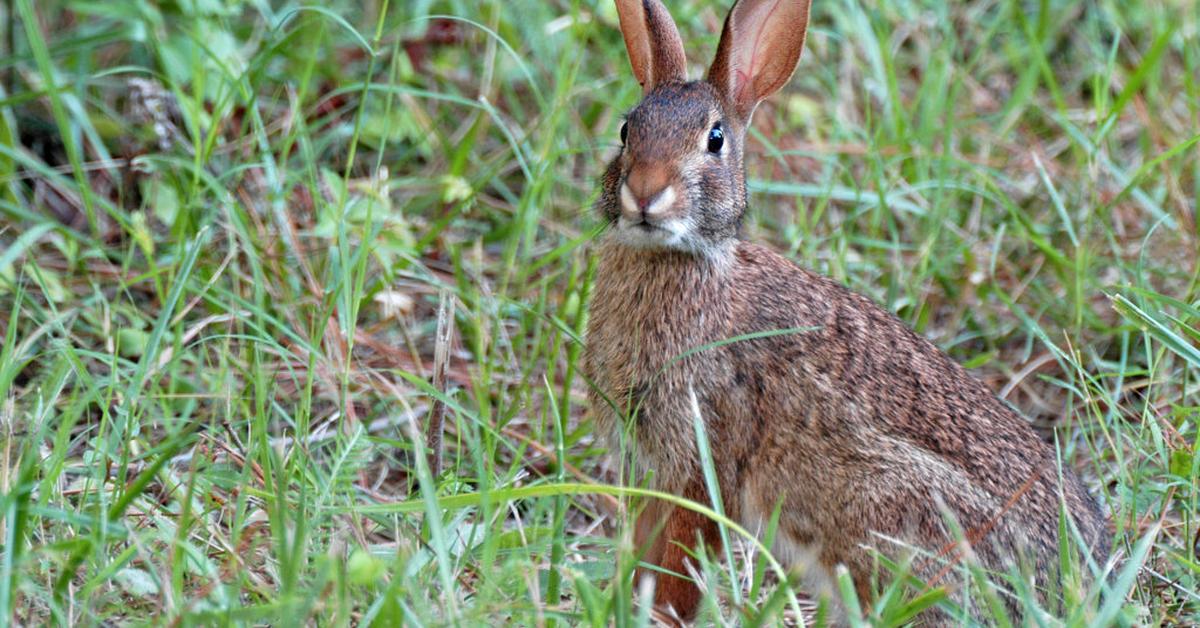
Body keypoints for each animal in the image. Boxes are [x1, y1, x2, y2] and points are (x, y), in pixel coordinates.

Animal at [580, 0, 1104, 619]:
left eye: (715, 139)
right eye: (626, 129)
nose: (645, 193)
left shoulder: (706, 460)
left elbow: (681, 565)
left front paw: (662, 617)